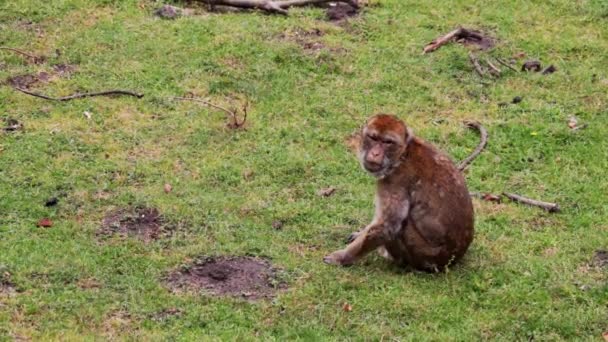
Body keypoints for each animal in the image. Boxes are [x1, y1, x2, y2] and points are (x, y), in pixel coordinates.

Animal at [324, 115, 476, 272]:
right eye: (373, 138)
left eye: (387, 142)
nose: (375, 153)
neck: (403, 155)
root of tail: (452, 261)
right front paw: (360, 233)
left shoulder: (394, 182)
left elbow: (387, 226)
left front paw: (342, 257)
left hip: (422, 257)